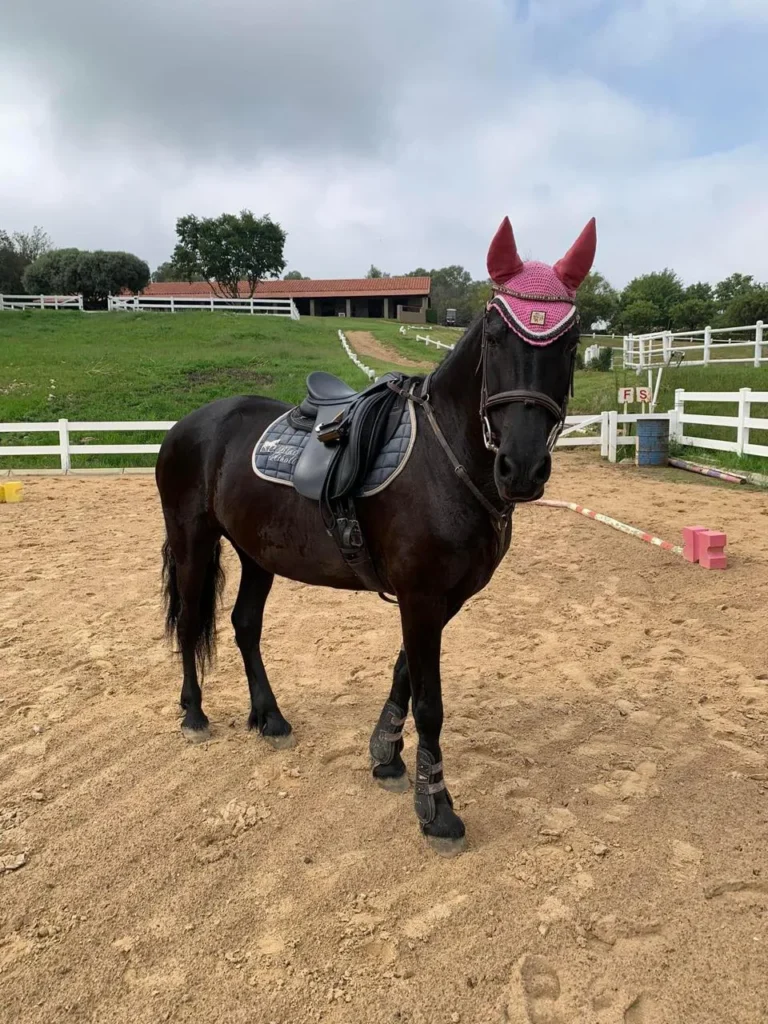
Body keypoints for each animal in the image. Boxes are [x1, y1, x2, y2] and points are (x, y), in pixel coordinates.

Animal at [155, 214, 596, 856]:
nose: (521, 468)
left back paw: (269, 717)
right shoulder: (420, 595)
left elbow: (403, 674)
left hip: (256, 552)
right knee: (190, 622)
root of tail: (189, 424)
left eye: (570, 341)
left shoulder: (442, 598)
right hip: (192, 539)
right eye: (494, 336)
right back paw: (193, 714)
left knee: (243, 626)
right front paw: (436, 808)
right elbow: (430, 701)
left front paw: (386, 756)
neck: (445, 459)